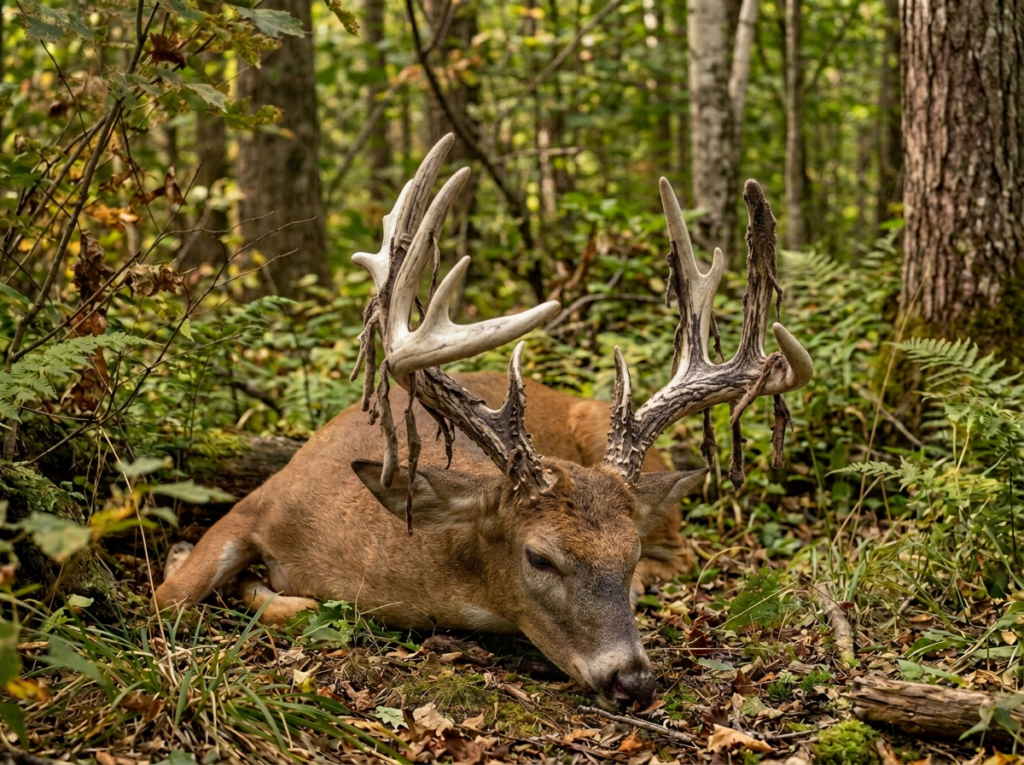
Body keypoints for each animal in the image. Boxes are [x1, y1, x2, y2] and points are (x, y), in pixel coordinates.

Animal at [153, 134, 813, 710]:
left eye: (627, 555)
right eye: (541, 558)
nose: (634, 681)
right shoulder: (260, 499)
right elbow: (170, 599)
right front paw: (201, 564)